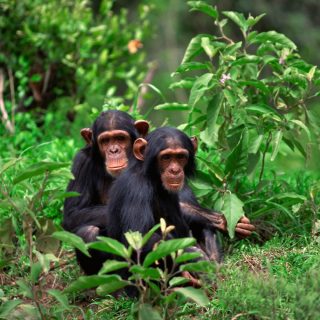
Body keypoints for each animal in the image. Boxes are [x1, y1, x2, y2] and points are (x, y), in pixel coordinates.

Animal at [63, 109, 149, 274]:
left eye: (120, 138)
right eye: (105, 141)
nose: (114, 150)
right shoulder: (81, 162)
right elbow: (73, 213)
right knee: (87, 233)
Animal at [106, 126, 221, 262]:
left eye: (180, 157)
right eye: (166, 157)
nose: (175, 170)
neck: (152, 178)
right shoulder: (136, 189)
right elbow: (138, 238)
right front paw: (198, 257)